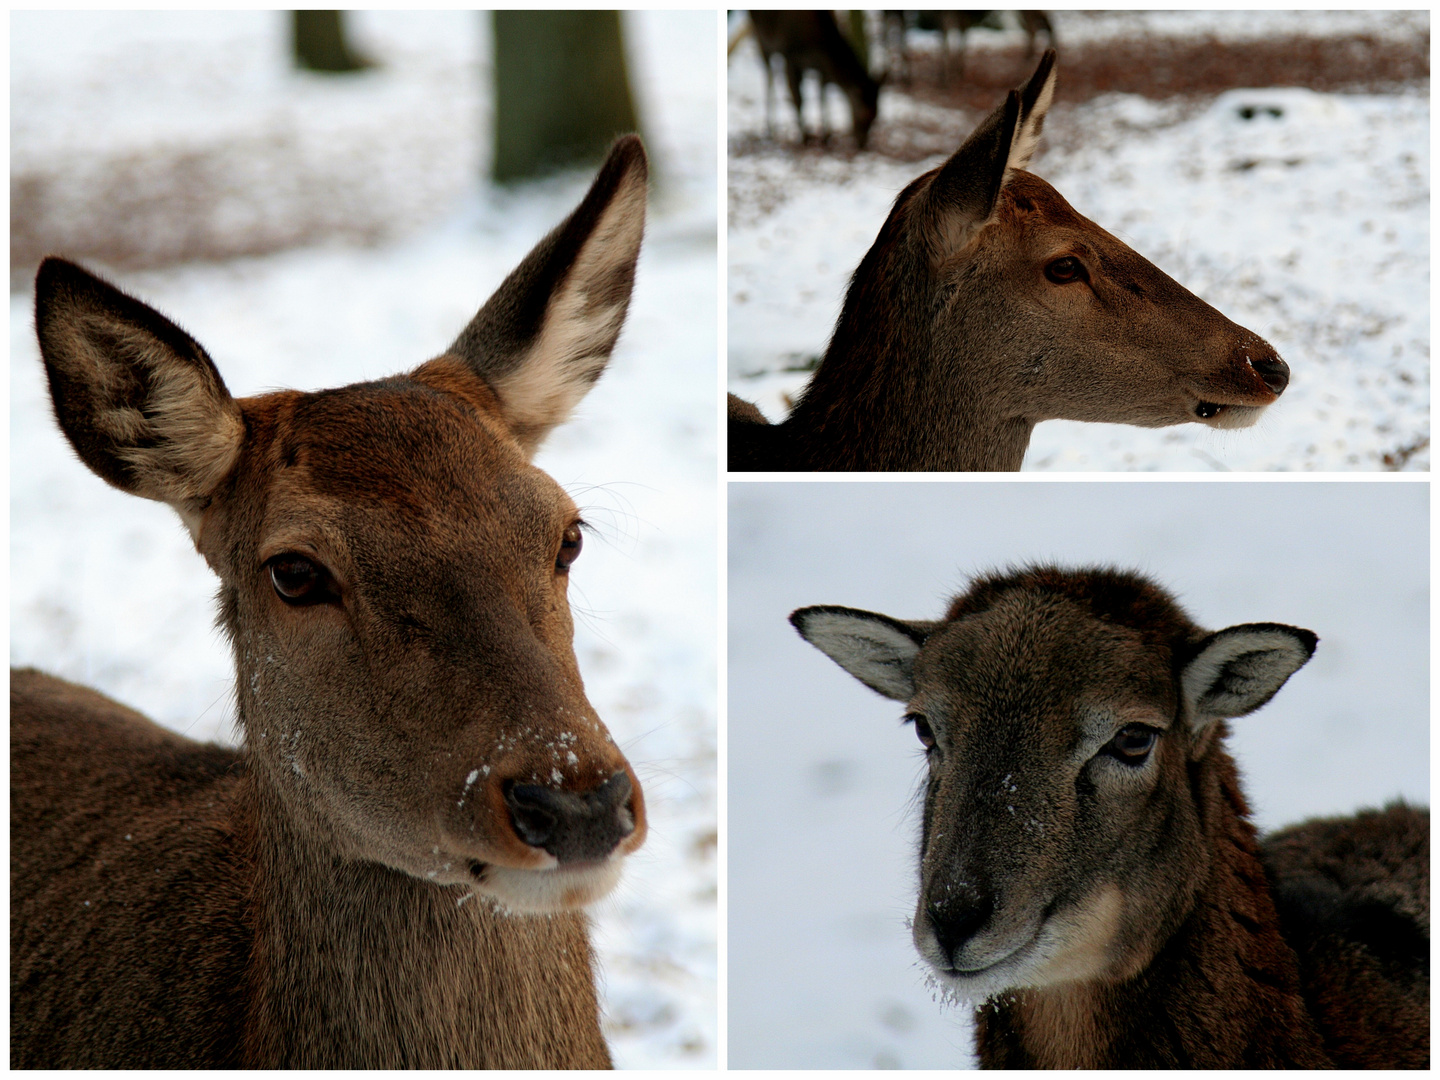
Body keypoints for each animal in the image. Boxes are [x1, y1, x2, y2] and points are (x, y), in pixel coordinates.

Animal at [754, 10, 875, 151]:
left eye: (876, 114)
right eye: (864, 114)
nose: (863, 144)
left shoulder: (821, 68)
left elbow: (822, 96)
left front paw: (826, 136)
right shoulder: (789, 54)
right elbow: (798, 98)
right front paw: (805, 137)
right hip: (761, 36)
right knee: (768, 71)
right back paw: (769, 129)